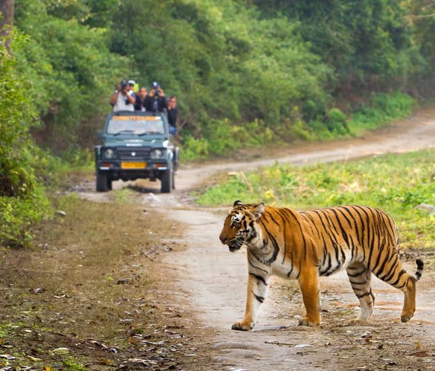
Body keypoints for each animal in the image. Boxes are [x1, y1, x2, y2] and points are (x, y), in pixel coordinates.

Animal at [220, 201, 424, 332]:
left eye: (235, 223)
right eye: (225, 222)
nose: (221, 239)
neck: (258, 243)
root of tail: (386, 214)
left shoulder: (307, 269)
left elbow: (310, 298)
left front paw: (311, 321)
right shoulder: (258, 274)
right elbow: (252, 299)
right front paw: (245, 323)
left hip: (383, 262)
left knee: (409, 280)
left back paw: (406, 315)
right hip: (357, 272)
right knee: (369, 297)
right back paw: (358, 322)